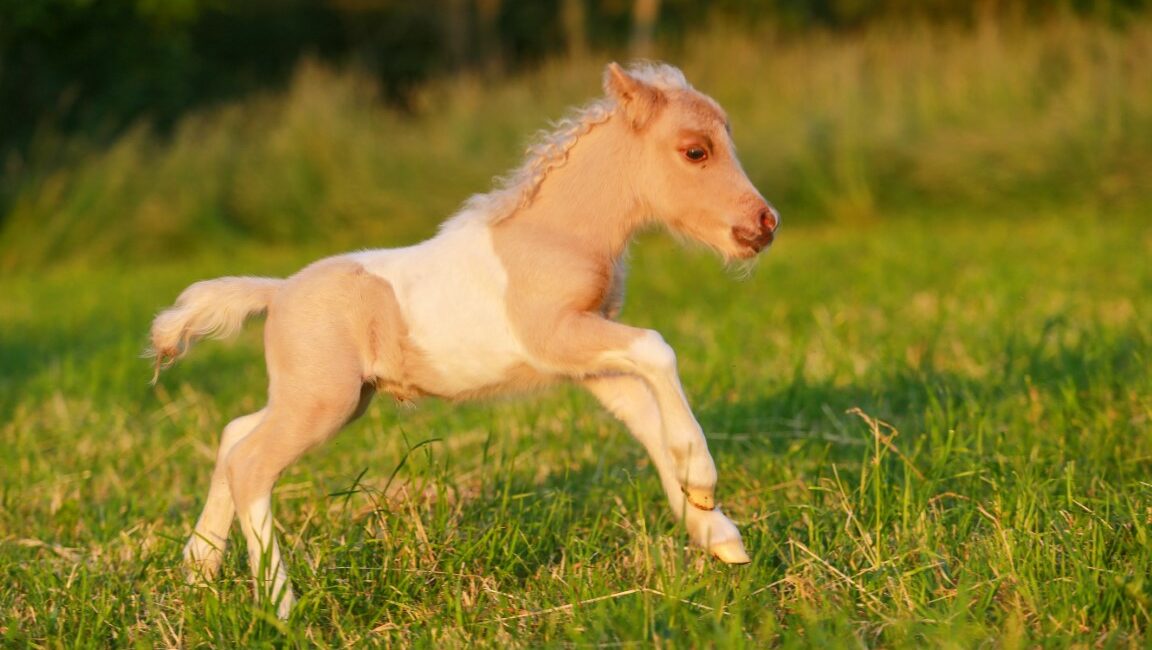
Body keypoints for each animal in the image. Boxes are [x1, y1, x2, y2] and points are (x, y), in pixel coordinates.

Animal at [150, 62, 783, 617]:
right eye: (696, 151)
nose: (765, 223)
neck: (556, 234)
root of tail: (277, 291)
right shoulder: (557, 336)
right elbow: (659, 348)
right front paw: (703, 481)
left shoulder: (591, 363)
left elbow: (647, 419)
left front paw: (717, 532)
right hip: (322, 402)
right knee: (251, 463)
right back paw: (280, 608)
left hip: (328, 398)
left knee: (233, 436)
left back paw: (198, 571)